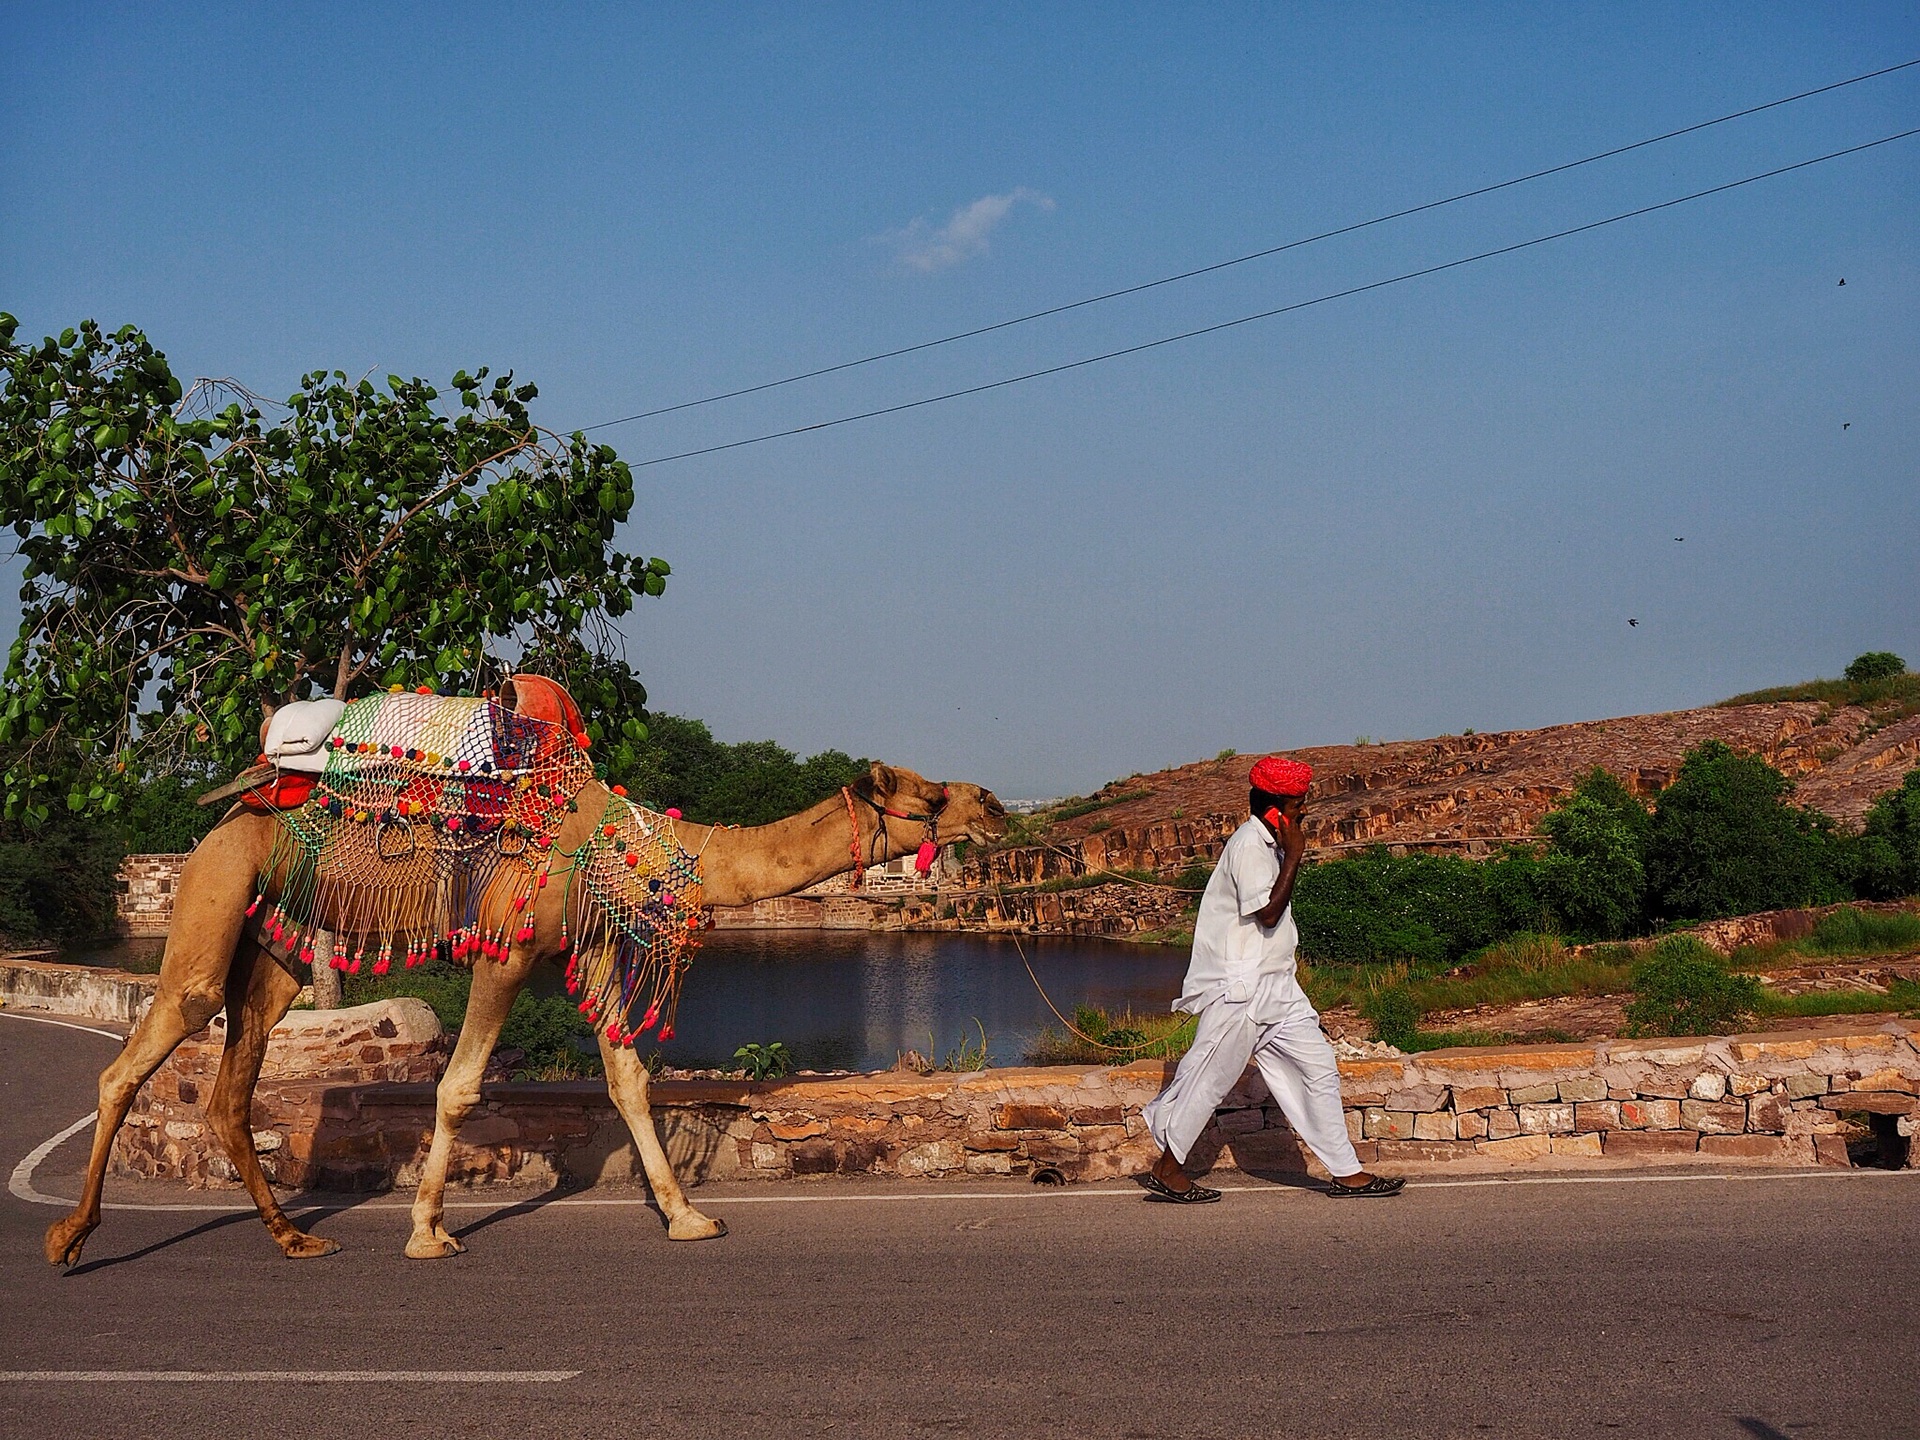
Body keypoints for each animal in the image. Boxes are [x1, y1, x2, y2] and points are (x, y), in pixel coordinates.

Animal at [41, 756, 1006, 1259]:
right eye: (926, 796)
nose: (996, 806)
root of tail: (223, 817)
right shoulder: (505, 946)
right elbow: (459, 1087)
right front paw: (429, 1230)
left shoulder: (592, 946)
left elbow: (628, 1080)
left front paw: (690, 1216)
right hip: (211, 892)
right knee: (149, 1042)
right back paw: (71, 1239)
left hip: (274, 940)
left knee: (233, 1078)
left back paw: (293, 1236)